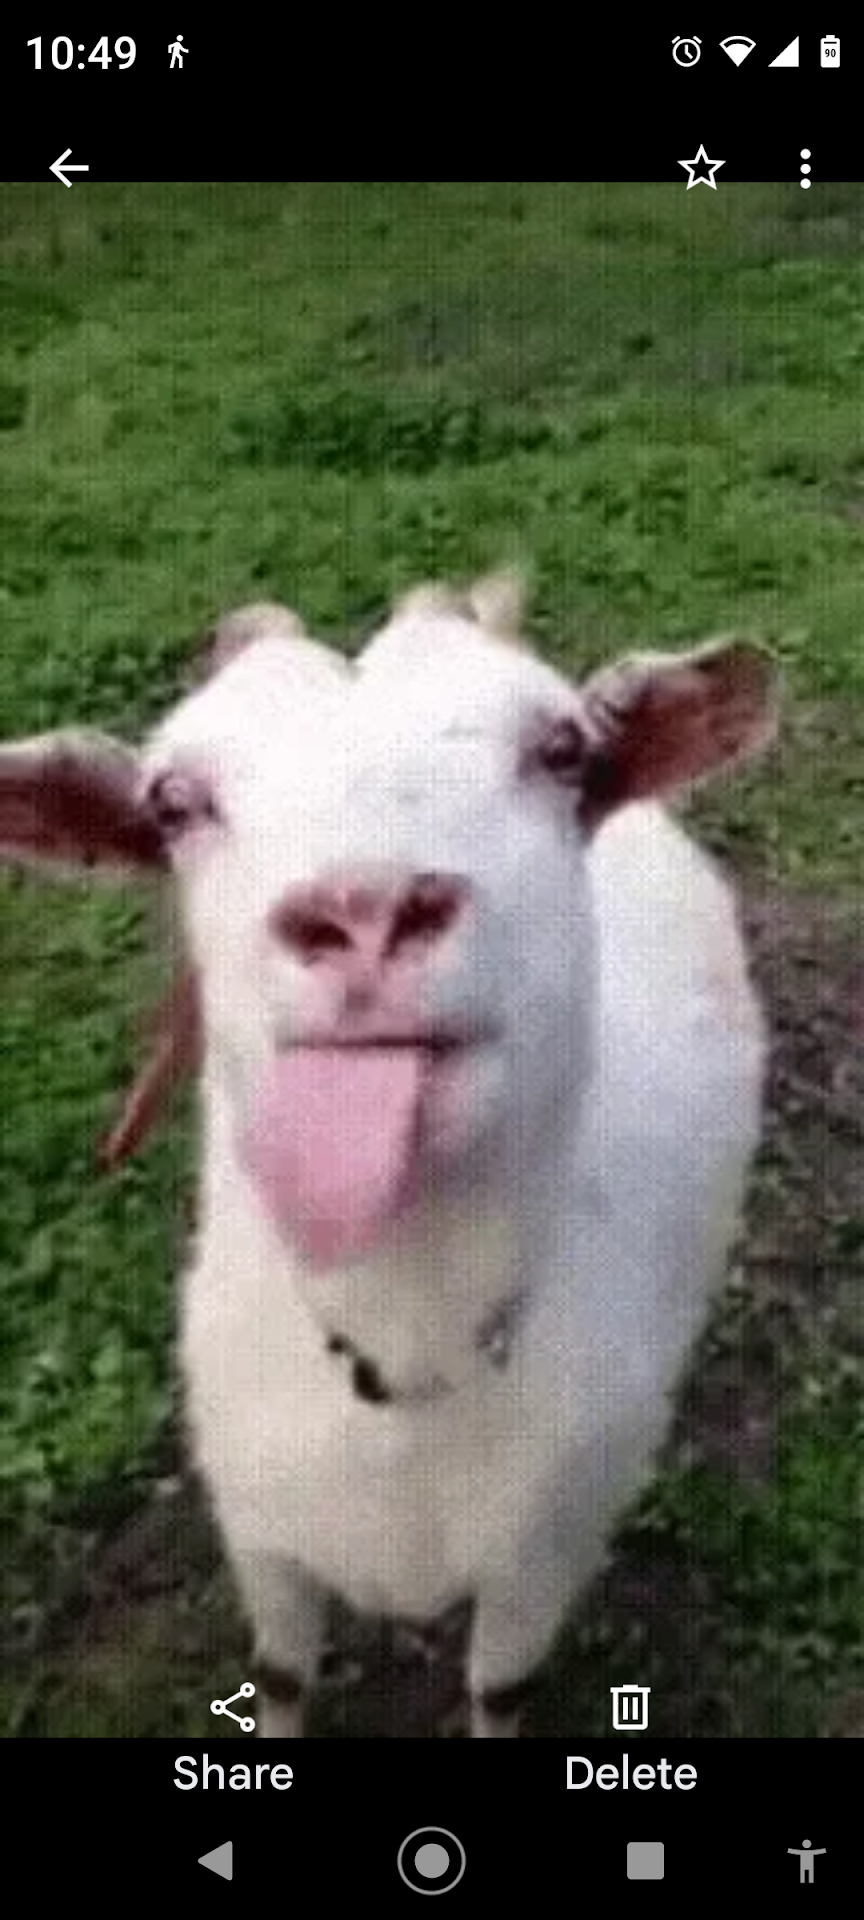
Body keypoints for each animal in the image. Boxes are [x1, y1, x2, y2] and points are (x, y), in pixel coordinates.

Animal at [0, 576, 777, 1737]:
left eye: (562, 750)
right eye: (174, 801)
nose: (365, 908)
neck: (409, 1352)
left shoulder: (544, 1557)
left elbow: (499, 1690)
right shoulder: (262, 1534)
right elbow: (279, 1681)